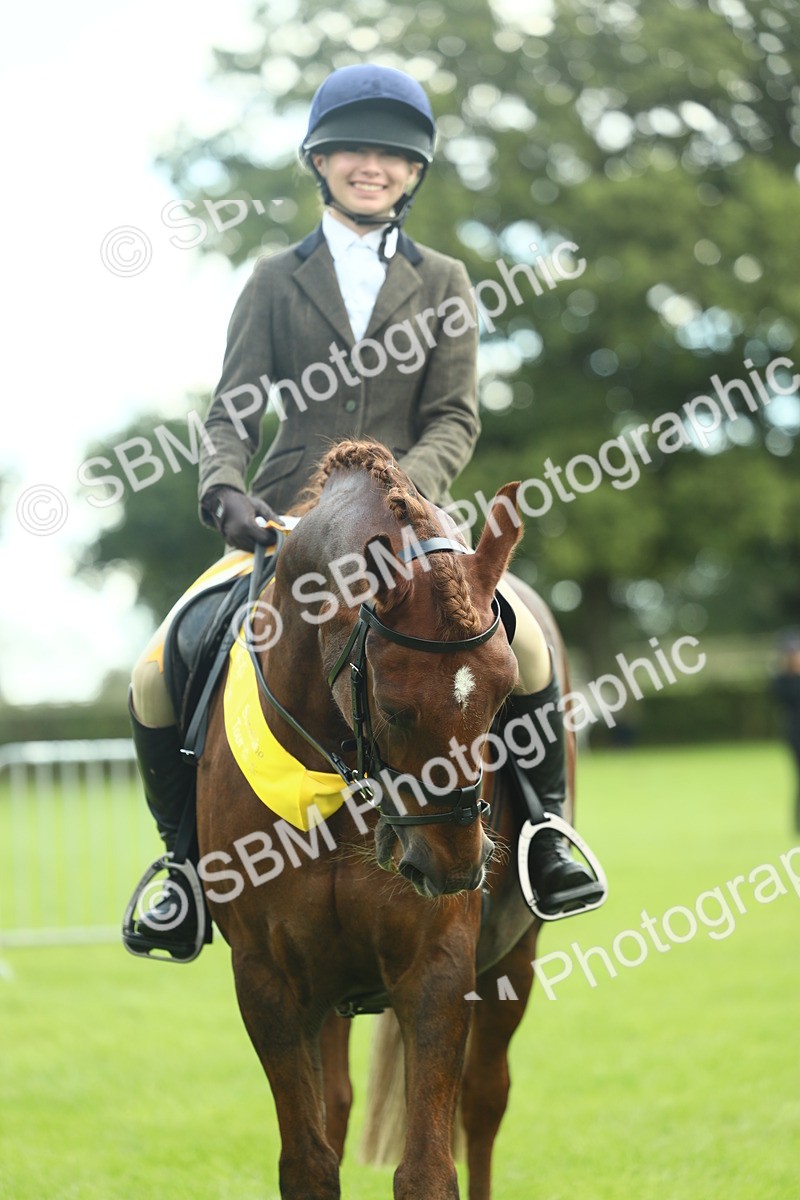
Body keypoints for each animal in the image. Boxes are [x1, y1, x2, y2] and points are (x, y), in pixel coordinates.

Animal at [196, 439, 575, 1199]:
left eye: (502, 700)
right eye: (396, 709)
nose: (456, 867)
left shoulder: (437, 966)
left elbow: (429, 1166)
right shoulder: (267, 979)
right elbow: (308, 1162)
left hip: (513, 957)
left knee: (483, 1101)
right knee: (339, 1105)